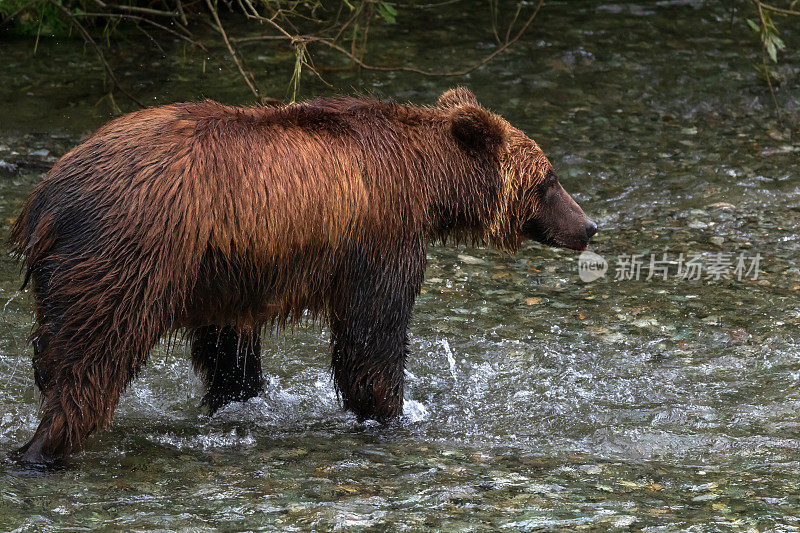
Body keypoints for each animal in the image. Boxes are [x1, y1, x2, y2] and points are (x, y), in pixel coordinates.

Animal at [6, 87, 592, 462]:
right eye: (548, 180)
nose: (587, 226)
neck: (426, 184)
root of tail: (48, 196)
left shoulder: (229, 267)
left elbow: (228, 347)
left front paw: (242, 399)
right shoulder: (381, 236)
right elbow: (372, 336)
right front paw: (393, 412)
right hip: (130, 253)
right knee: (93, 351)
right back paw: (43, 447)